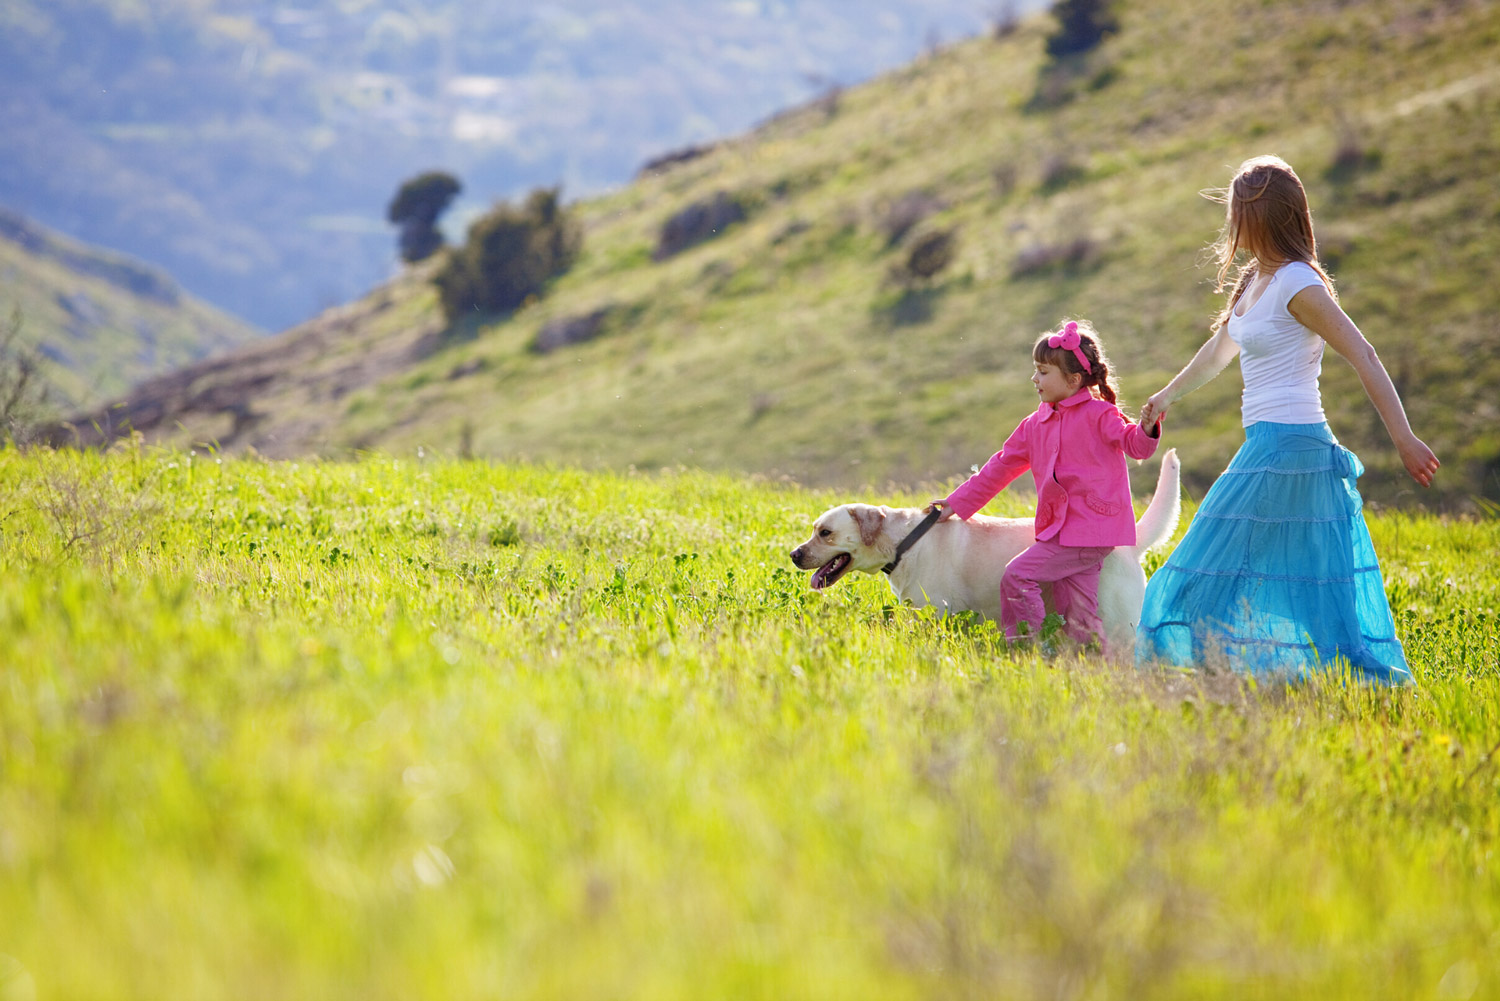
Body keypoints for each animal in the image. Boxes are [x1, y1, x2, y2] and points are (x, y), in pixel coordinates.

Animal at [792, 447, 1176, 654]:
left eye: (825, 533)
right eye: (814, 530)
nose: (795, 555)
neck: (905, 540)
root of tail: (1129, 544)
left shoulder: (937, 614)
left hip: (1118, 624)